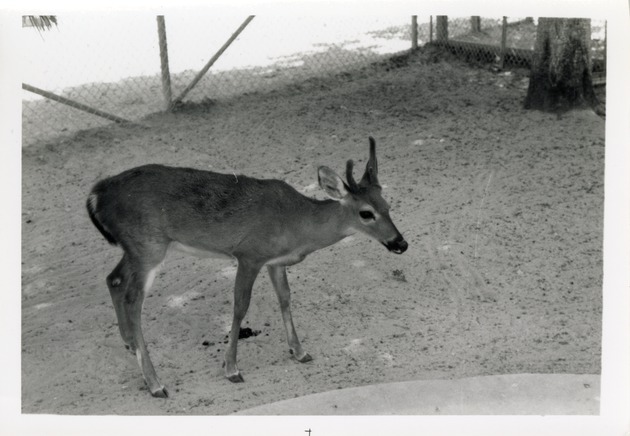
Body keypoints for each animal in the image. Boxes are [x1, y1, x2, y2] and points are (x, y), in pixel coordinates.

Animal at [86, 137, 410, 398]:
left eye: (388, 206)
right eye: (366, 213)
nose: (401, 243)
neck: (298, 223)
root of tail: (97, 194)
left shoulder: (274, 261)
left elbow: (285, 297)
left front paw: (299, 351)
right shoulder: (249, 254)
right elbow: (240, 306)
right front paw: (231, 369)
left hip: (136, 248)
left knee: (113, 279)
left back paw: (129, 344)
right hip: (148, 247)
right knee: (132, 299)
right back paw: (155, 384)